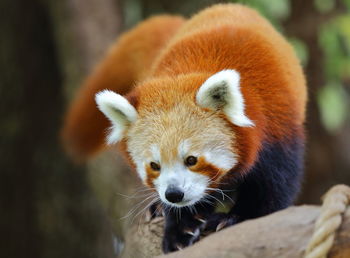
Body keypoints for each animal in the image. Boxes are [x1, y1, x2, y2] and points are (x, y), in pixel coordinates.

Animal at [62, 3, 306, 254]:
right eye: (154, 165)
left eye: (192, 160)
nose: (174, 194)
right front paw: (179, 228)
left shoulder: (275, 125)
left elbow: (272, 188)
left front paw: (237, 217)